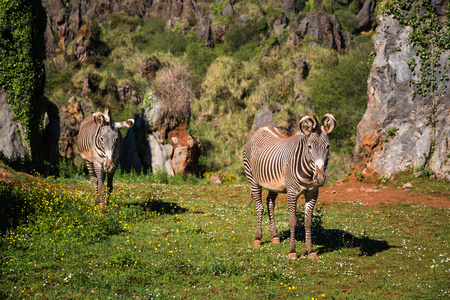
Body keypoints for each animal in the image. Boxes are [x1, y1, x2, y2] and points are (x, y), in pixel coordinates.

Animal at [244, 113, 336, 258]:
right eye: (309, 147)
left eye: (327, 147)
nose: (320, 178)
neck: (309, 174)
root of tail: (261, 129)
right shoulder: (292, 192)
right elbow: (293, 221)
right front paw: (292, 251)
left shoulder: (312, 193)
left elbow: (308, 222)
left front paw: (311, 251)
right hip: (253, 180)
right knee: (259, 207)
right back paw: (258, 238)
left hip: (273, 184)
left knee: (270, 203)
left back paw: (275, 236)